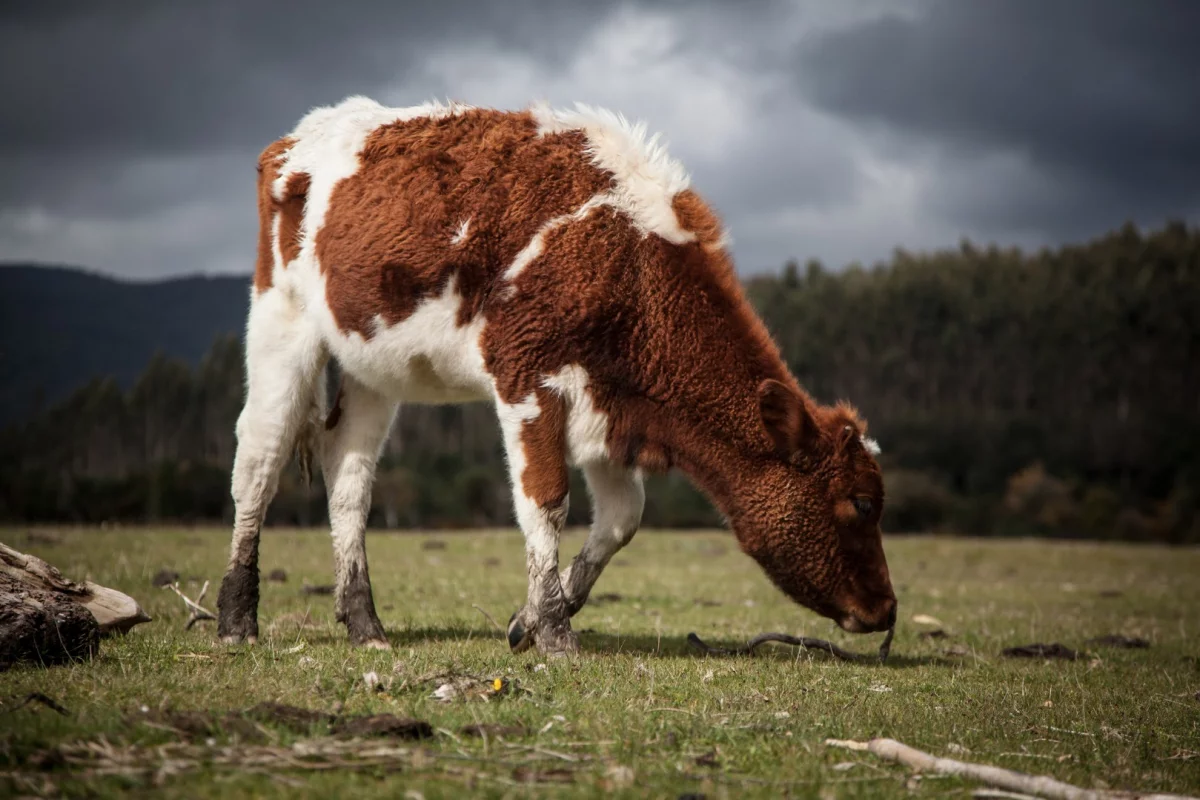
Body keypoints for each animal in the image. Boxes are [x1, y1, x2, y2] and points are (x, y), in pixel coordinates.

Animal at [216, 95, 897, 656]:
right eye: (861, 503)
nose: (887, 610)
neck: (629, 261)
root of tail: (300, 136)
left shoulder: (610, 403)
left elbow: (622, 518)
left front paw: (531, 618)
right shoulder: (527, 375)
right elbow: (545, 500)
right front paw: (554, 631)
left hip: (372, 362)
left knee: (348, 473)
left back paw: (364, 624)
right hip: (283, 321)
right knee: (259, 459)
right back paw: (236, 618)